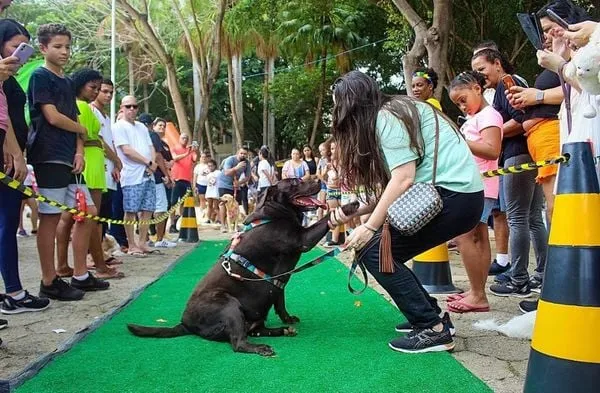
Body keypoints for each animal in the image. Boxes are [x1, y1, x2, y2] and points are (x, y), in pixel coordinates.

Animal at [127, 179, 358, 356]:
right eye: (295, 182)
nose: (319, 180)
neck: (273, 213)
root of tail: (185, 323)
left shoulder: (278, 282)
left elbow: (280, 301)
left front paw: (287, 318)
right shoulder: (303, 239)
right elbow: (327, 218)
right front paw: (348, 207)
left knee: (254, 330)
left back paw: (283, 330)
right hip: (228, 305)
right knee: (238, 342)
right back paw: (261, 347)